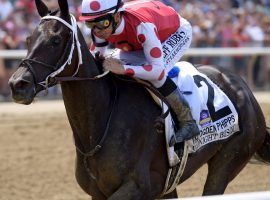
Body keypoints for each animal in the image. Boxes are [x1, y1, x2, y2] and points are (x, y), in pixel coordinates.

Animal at [8, 0, 270, 199]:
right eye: (28, 39)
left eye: (55, 40)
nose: (17, 84)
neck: (100, 122)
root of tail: (242, 87)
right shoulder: (102, 192)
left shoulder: (138, 187)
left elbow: (154, 68)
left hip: (229, 159)